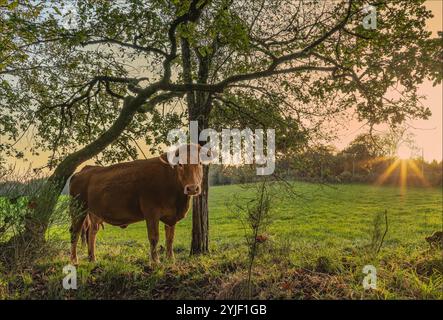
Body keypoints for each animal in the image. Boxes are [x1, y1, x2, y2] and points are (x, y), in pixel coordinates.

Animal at [68, 144, 211, 264]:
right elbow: (154, 237)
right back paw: (74, 260)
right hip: (78, 210)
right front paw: (156, 262)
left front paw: (170, 259)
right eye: (180, 164)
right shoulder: (151, 213)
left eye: (199, 163)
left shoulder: (170, 216)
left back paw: (92, 259)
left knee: (92, 233)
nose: (192, 188)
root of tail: (83, 171)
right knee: (75, 232)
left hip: (94, 214)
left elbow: (170, 238)